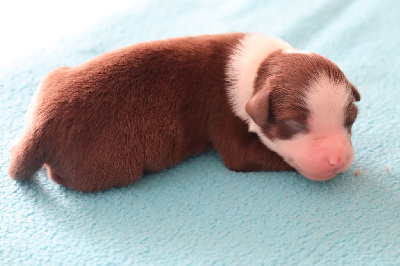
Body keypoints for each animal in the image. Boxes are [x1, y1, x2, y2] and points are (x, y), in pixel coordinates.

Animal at [7, 32, 360, 191]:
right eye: (293, 124)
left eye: (351, 120)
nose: (339, 160)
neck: (262, 67)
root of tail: (40, 130)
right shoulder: (227, 120)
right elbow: (246, 154)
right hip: (107, 166)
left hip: (51, 80)